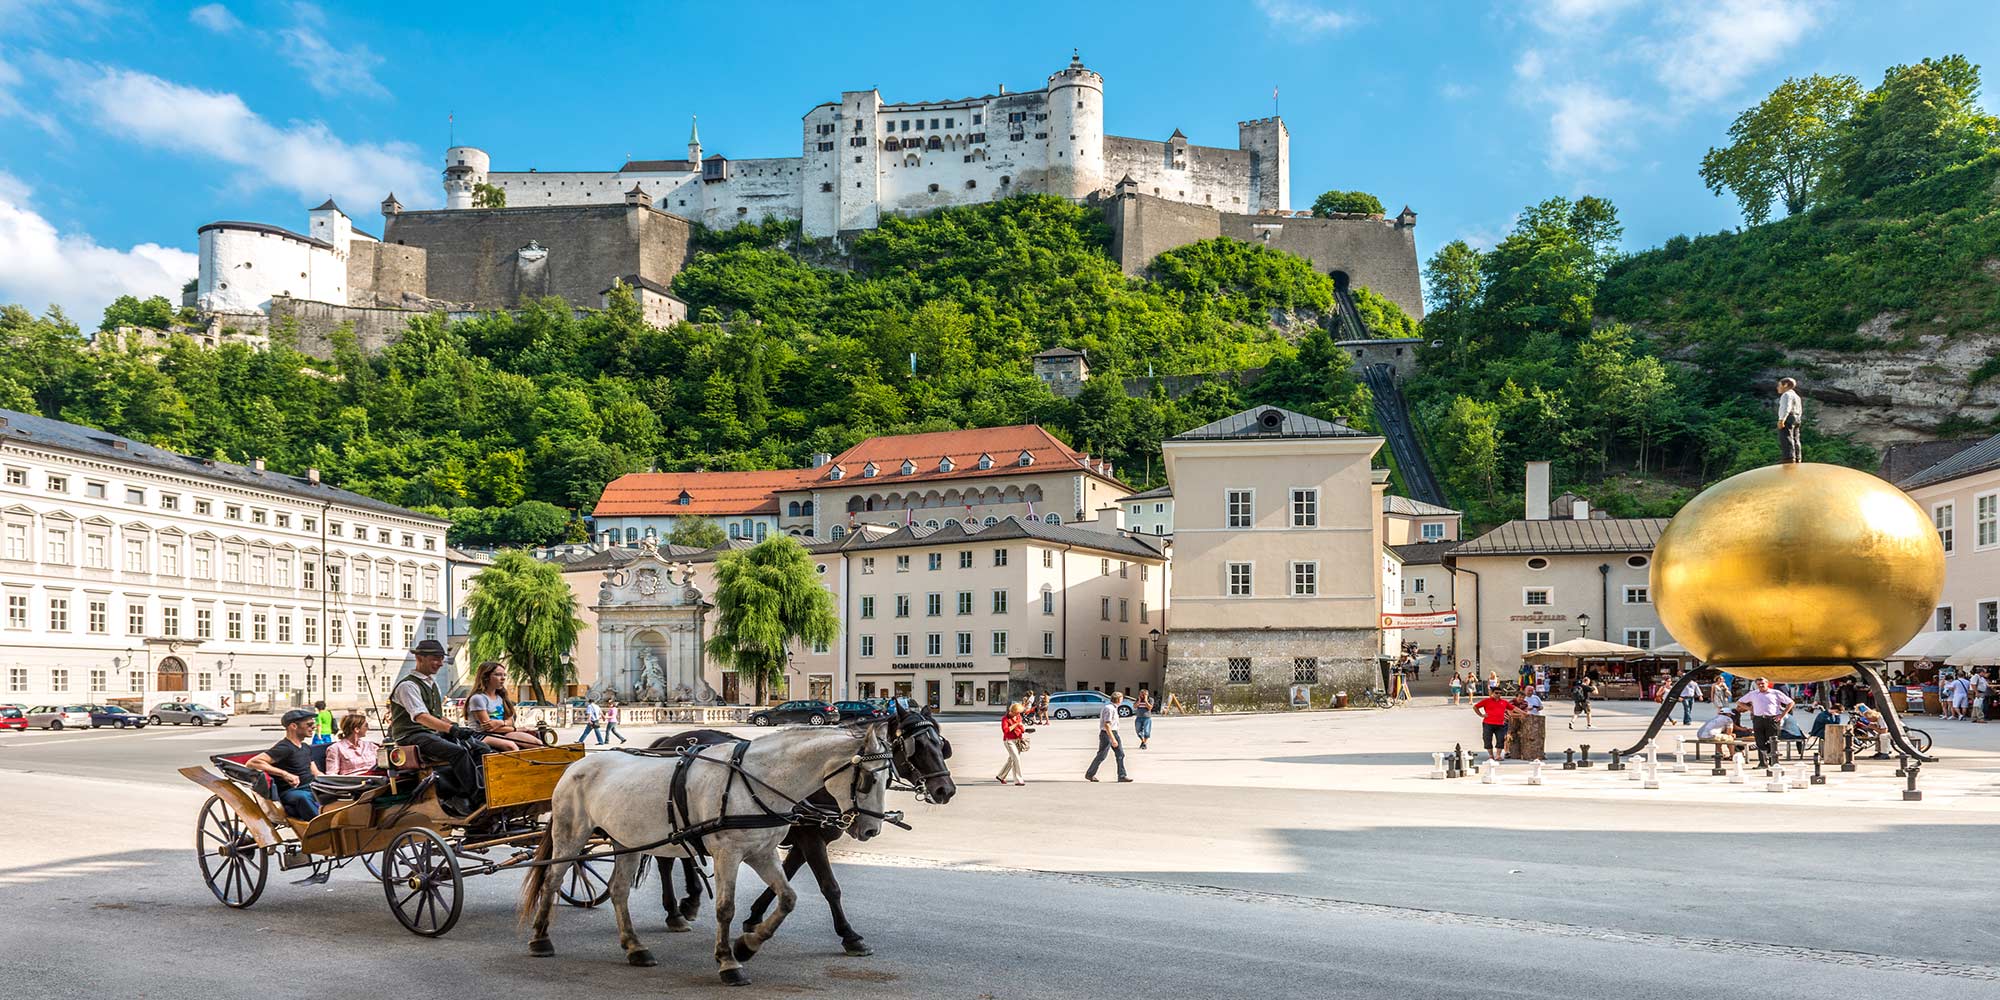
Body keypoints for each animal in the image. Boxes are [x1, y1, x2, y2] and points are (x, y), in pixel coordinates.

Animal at [524, 720, 892, 984]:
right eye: (868, 781)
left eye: (888, 779)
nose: (871, 831)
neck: (757, 782)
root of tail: (576, 766)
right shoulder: (729, 854)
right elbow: (726, 909)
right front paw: (729, 961)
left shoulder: (762, 852)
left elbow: (788, 898)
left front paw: (747, 945)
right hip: (571, 834)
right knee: (552, 879)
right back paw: (541, 938)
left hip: (625, 840)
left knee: (618, 890)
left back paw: (635, 946)